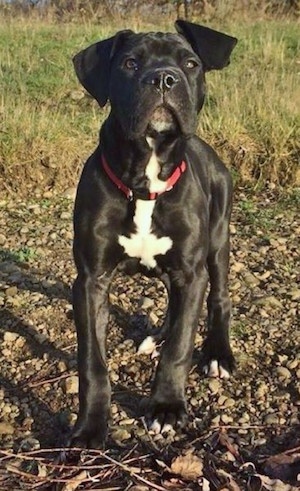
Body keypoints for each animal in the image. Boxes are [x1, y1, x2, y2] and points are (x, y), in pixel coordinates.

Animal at [69, 20, 237, 450]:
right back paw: (156, 338)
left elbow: (181, 345)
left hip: (217, 242)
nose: (163, 78)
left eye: (191, 63)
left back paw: (217, 353)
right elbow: (92, 361)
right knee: (174, 309)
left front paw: (166, 407)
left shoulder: (190, 273)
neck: (144, 181)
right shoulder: (91, 279)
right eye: (130, 63)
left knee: (218, 298)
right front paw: (91, 425)